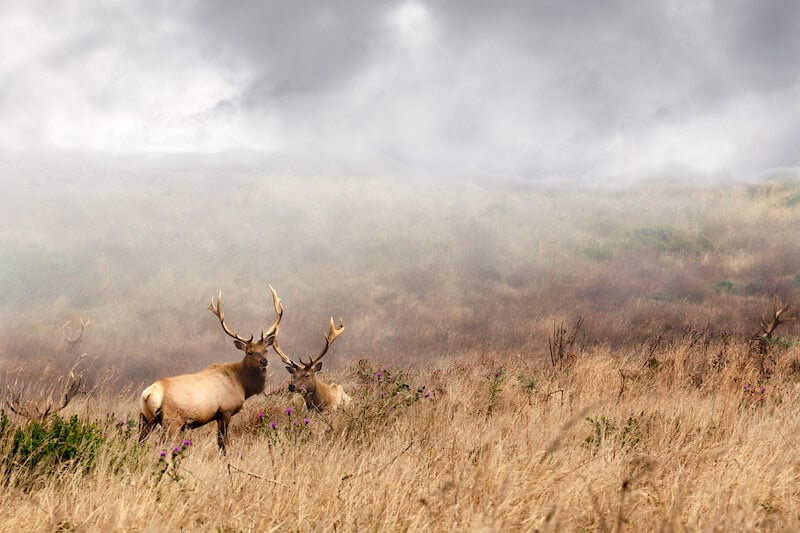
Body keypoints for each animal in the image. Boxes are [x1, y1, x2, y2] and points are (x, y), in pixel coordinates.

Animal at [139, 286, 283, 452]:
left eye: (265, 350)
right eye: (249, 352)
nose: (264, 362)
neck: (242, 385)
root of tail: (148, 394)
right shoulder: (225, 410)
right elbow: (222, 443)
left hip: (146, 419)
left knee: (140, 441)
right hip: (172, 421)